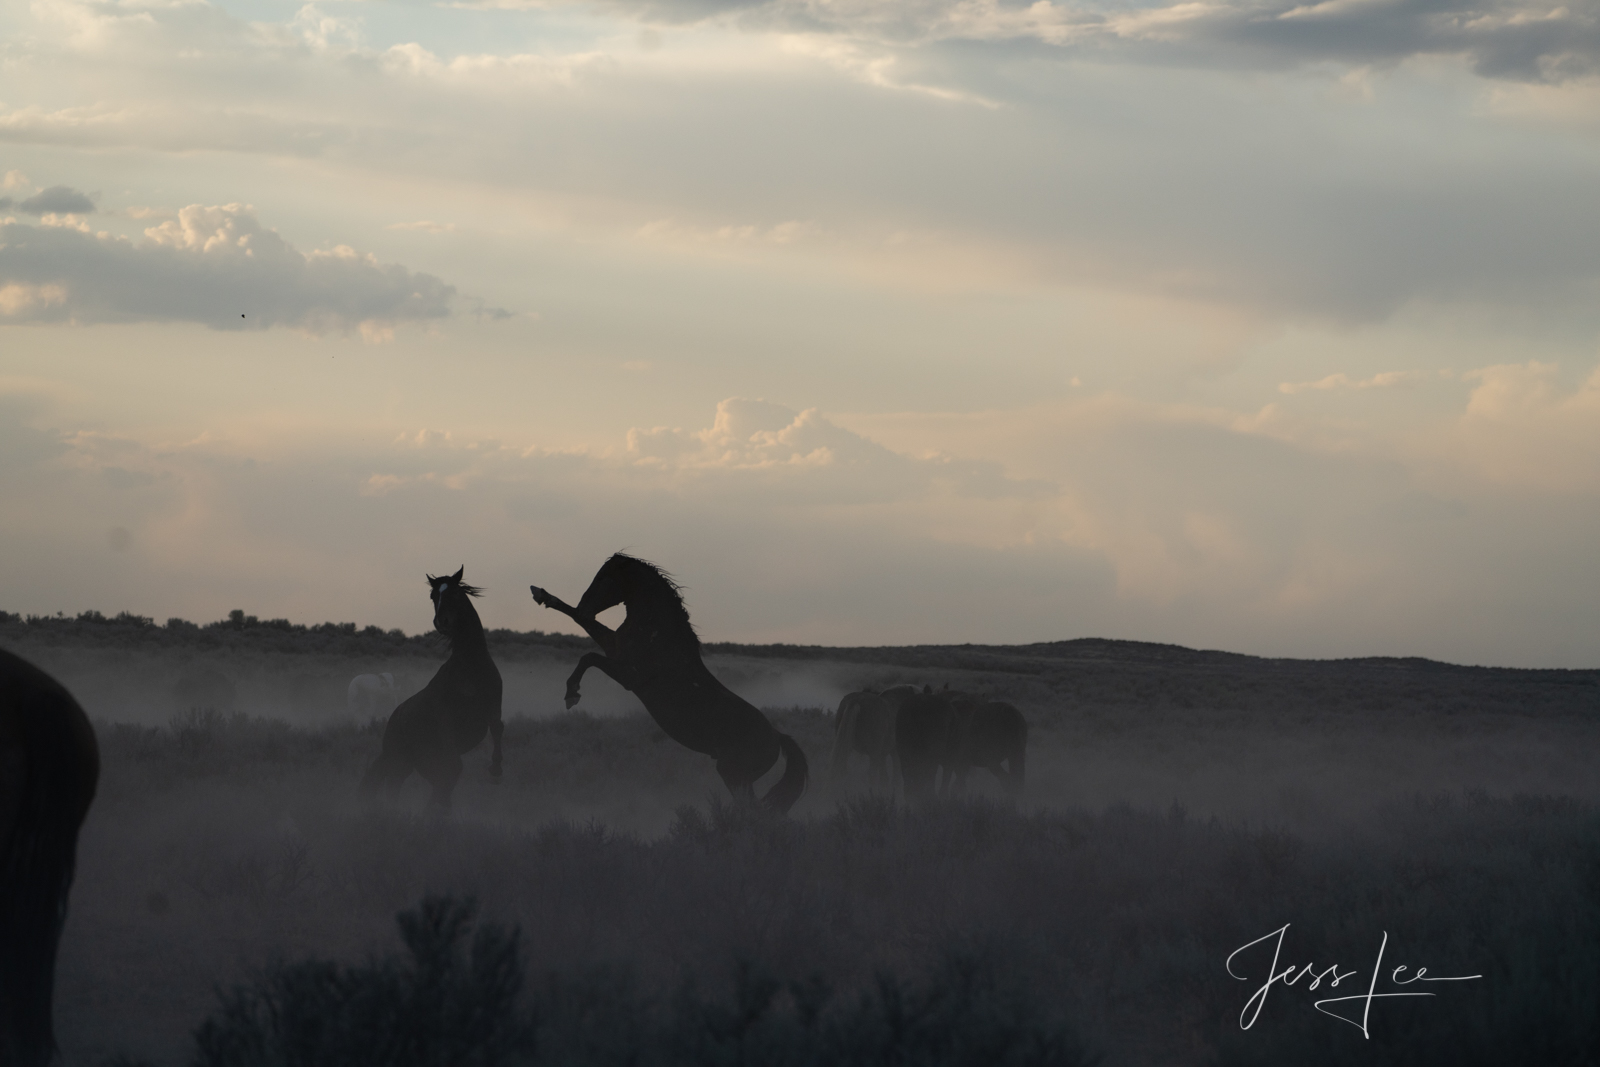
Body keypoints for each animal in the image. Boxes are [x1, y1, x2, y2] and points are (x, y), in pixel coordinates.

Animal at [364, 566, 502, 809]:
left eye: (455, 593)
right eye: (433, 595)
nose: (442, 621)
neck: (472, 667)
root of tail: (393, 719)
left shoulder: (493, 708)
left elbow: (498, 730)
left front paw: (496, 768)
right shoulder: (445, 724)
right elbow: (453, 768)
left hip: (414, 761)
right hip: (399, 760)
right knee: (393, 786)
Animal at [531, 556, 806, 812]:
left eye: (604, 578)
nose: (585, 606)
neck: (659, 637)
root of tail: (777, 736)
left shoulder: (628, 675)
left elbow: (588, 656)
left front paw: (572, 694)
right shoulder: (613, 647)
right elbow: (582, 627)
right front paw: (542, 595)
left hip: (734, 774)